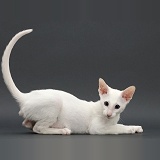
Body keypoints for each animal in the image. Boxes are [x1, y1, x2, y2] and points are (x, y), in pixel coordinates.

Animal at [1, 29, 144, 134]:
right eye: (106, 103)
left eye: (117, 106)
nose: (109, 114)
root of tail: (26, 96)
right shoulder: (96, 128)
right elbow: (118, 127)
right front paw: (131, 128)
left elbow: (118, 124)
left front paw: (135, 127)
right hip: (54, 103)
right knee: (38, 128)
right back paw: (61, 130)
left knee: (27, 123)